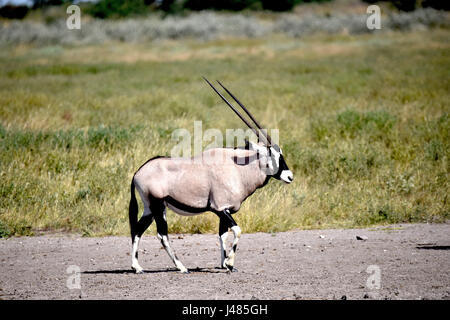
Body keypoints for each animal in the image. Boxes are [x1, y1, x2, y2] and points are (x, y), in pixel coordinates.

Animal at [128, 77, 294, 272]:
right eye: (272, 155)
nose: (290, 176)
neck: (238, 168)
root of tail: (138, 172)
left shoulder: (225, 211)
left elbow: (223, 235)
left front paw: (225, 264)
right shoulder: (221, 208)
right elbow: (237, 230)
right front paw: (229, 262)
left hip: (149, 208)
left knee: (138, 229)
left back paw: (137, 267)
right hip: (158, 205)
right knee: (162, 235)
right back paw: (181, 267)